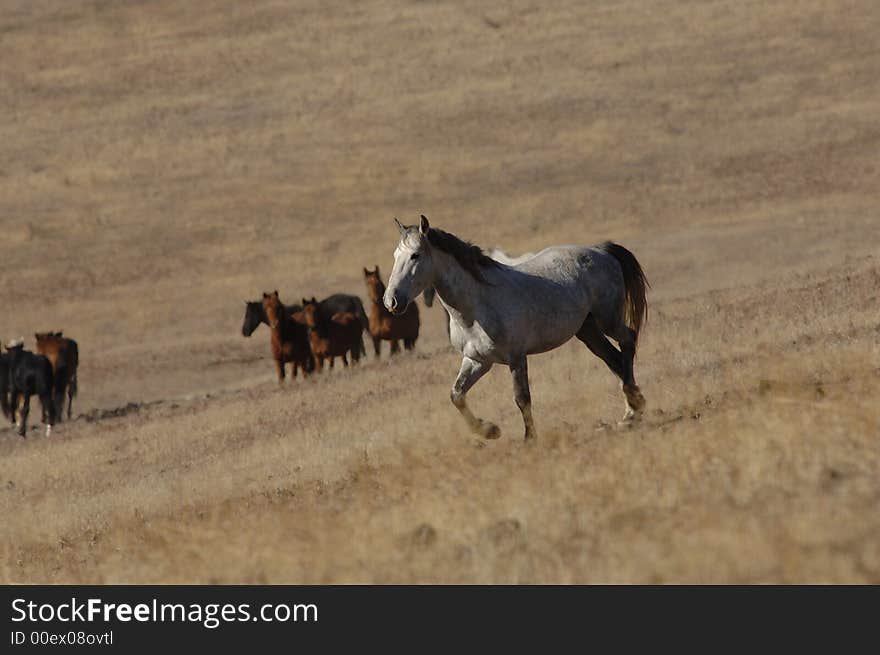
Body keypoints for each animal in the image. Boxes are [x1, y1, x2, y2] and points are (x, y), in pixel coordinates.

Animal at [384, 215, 648, 440]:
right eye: (395, 255)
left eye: (415, 255)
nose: (391, 301)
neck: (478, 307)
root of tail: (601, 251)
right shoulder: (478, 361)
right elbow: (456, 395)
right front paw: (489, 430)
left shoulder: (516, 357)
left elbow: (522, 398)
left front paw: (529, 439)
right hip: (588, 330)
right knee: (614, 360)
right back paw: (629, 415)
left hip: (608, 319)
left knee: (627, 341)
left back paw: (634, 404)